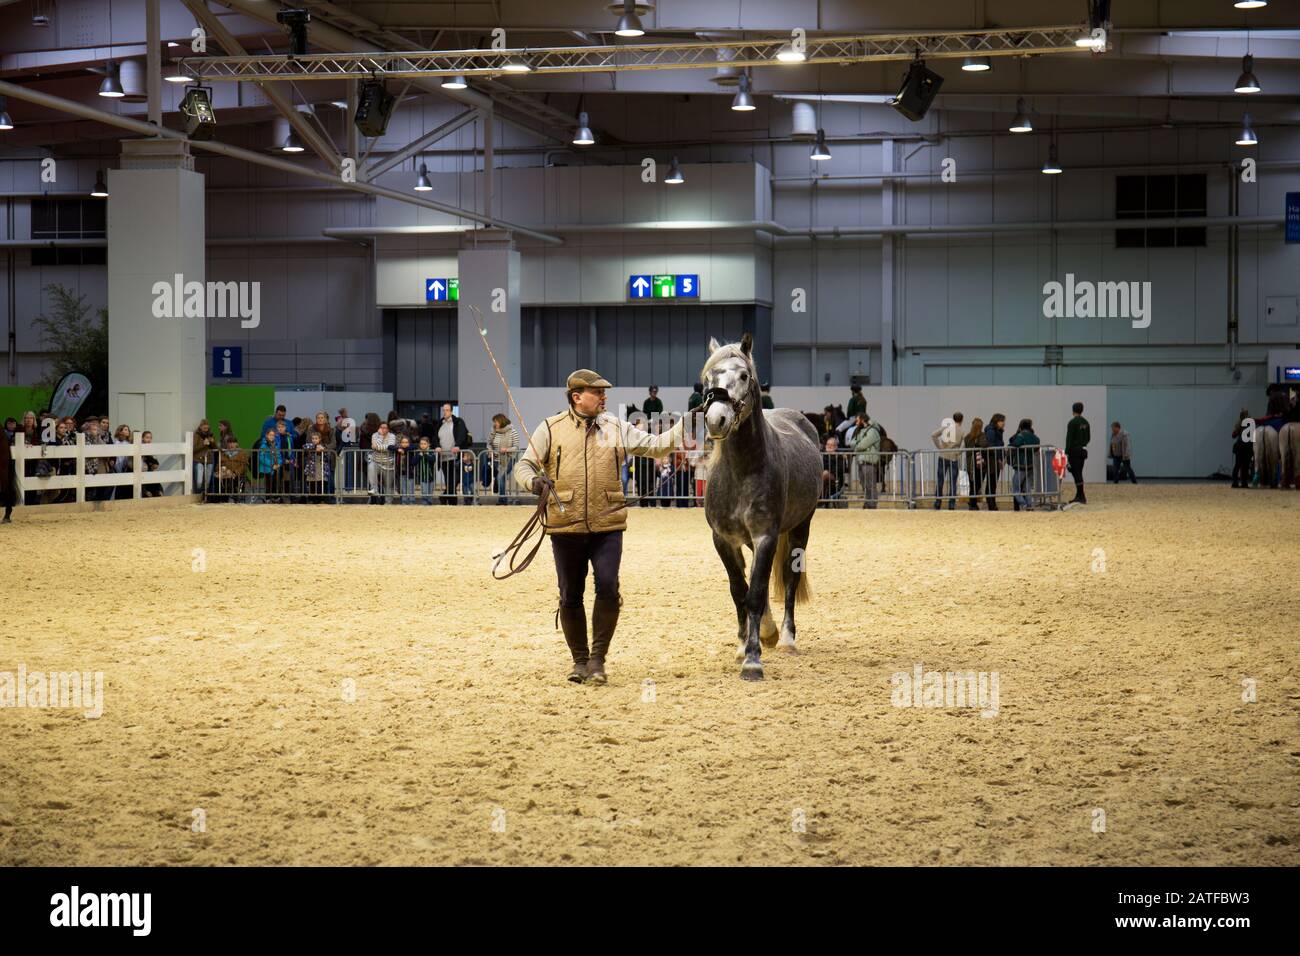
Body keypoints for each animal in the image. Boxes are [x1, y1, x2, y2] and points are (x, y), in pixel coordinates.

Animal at [707, 335, 816, 681]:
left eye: (744, 375)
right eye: (709, 377)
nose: (717, 419)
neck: (742, 470)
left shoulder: (767, 536)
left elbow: (755, 594)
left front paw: (753, 660)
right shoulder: (723, 540)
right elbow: (739, 590)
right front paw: (743, 645)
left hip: (800, 528)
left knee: (790, 581)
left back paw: (786, 639)